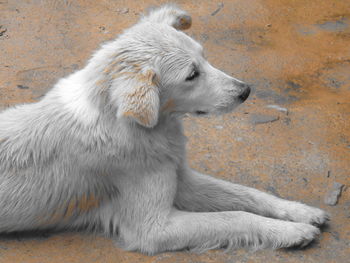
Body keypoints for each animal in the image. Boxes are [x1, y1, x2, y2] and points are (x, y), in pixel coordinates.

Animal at [0, 4, 328, 256]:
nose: (245, 91)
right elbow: (235, 217)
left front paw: (300, 212)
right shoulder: (153, 228)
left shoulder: (182, 179)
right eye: (192, 75)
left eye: (205, 57)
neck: (137, 126)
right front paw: (291, 231)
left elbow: (248, 194)